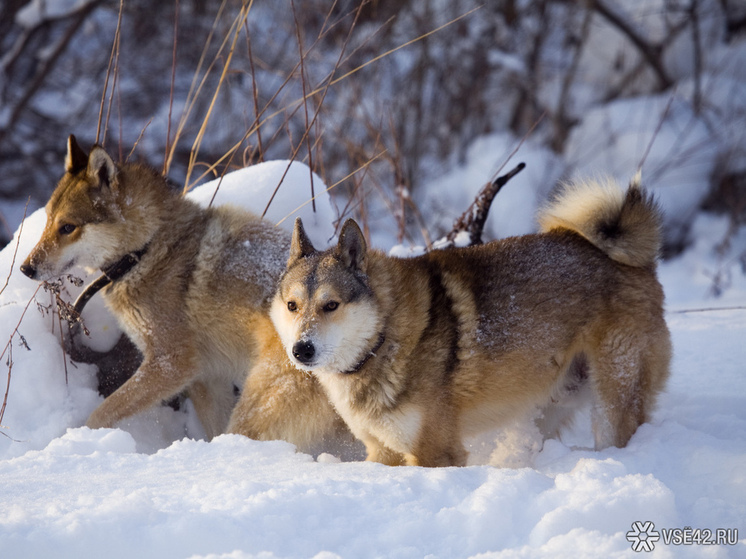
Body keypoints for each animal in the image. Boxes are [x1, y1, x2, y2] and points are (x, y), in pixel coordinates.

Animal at [18, 135, 342, 446]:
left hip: (255, 407)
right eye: (48, 222)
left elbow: (99, 414)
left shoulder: (170, 365)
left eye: (68, 227)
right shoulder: (206, 380)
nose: (25, 269)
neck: (146, 250)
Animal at [270, 179, 672, 468]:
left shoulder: (436, 454)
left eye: (331, 305)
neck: (384, 339)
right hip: (546, 405)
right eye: (292, 306)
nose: (301, 350)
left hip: (612, 407)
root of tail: (638, 263)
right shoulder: (383, 450)